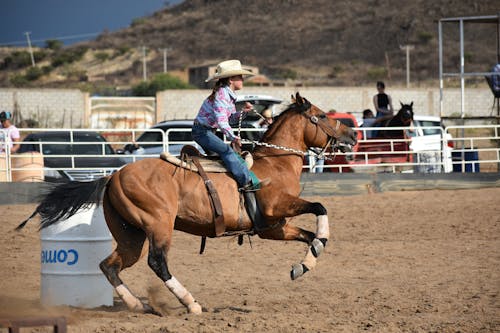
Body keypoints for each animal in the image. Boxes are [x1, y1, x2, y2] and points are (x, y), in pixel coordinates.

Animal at [17, 92, 358, 314]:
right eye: (323, 116)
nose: (353, 135)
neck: (274, 163)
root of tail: (113, 176)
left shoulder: (272, 227)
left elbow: (309, 235)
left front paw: (304, 264)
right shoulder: (277, 208)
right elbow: (320, 207)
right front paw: (315, 249)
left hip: (130, 235)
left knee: (110, 265)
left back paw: (138, 304)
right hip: (158, 225)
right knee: (157, 262)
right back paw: (190, 303)